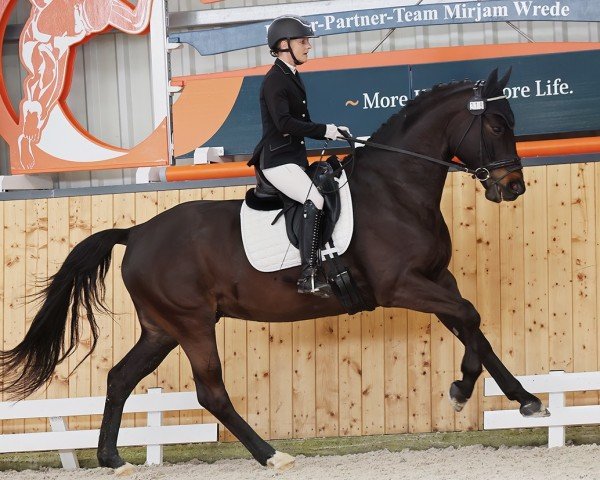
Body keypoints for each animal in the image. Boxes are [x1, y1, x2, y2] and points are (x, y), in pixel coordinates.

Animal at [0, 67, 548, 472]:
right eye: (496, 125)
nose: (513, 186)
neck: (396, 190)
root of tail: (135, 234)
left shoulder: (435, 280)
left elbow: (473, 327)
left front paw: (522, 399)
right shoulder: (403, 286)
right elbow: (471, 317)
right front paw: (462, 389)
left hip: (161, 328)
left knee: (119, 378)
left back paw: (112, 459)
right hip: (191, 323)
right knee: (211, 391)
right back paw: (271, 455)